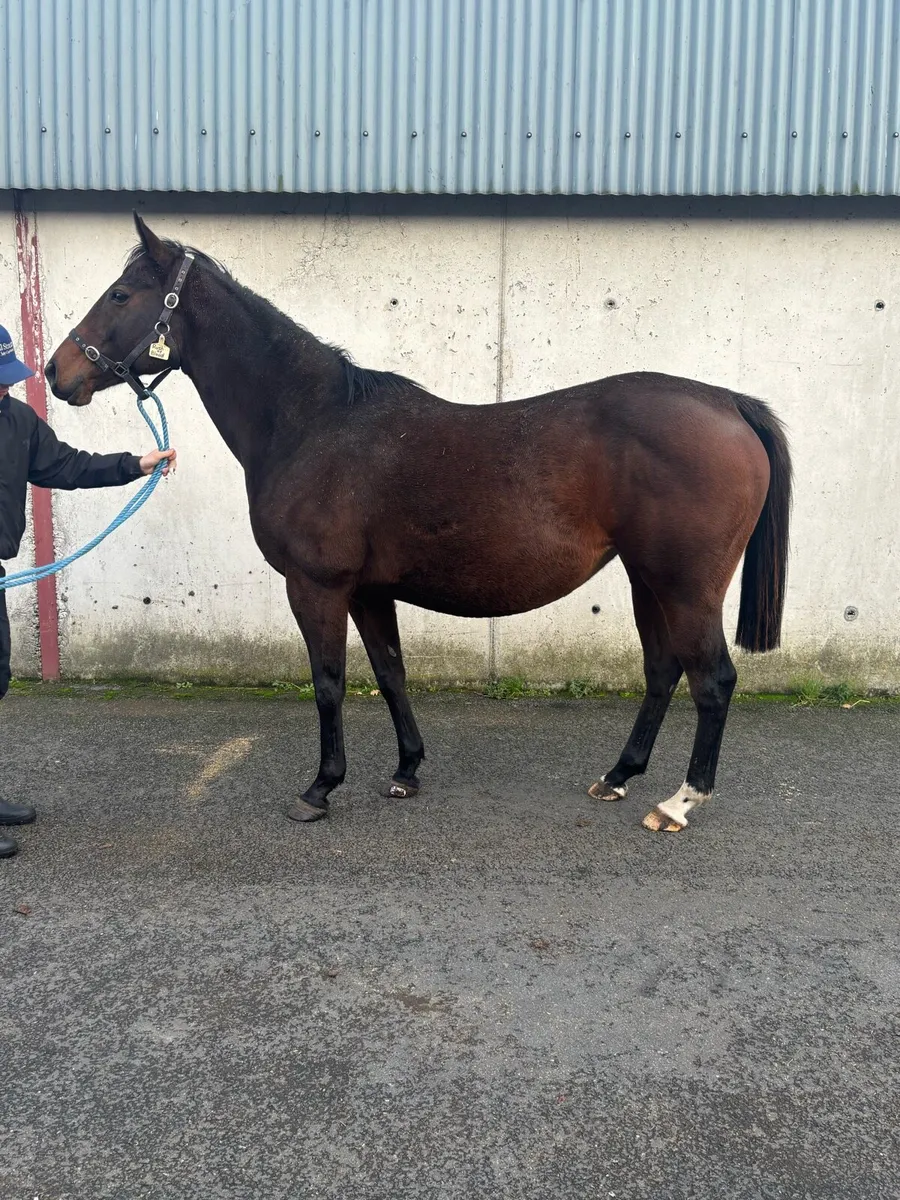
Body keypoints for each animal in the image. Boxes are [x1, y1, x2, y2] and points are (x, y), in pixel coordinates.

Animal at [46, 214, 791, 833]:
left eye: (121, 295)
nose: (58, 371)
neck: (313, 423)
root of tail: (728, 403)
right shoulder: (370, 591)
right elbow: (390, 671)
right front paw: (406, 770)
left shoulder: (317, 586)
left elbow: (329, 682)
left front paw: (319, 789)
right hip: (646, 579)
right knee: (663, 670)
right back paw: (618, 776)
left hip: (687, 586)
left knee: (712, 680)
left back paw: (679, 802)